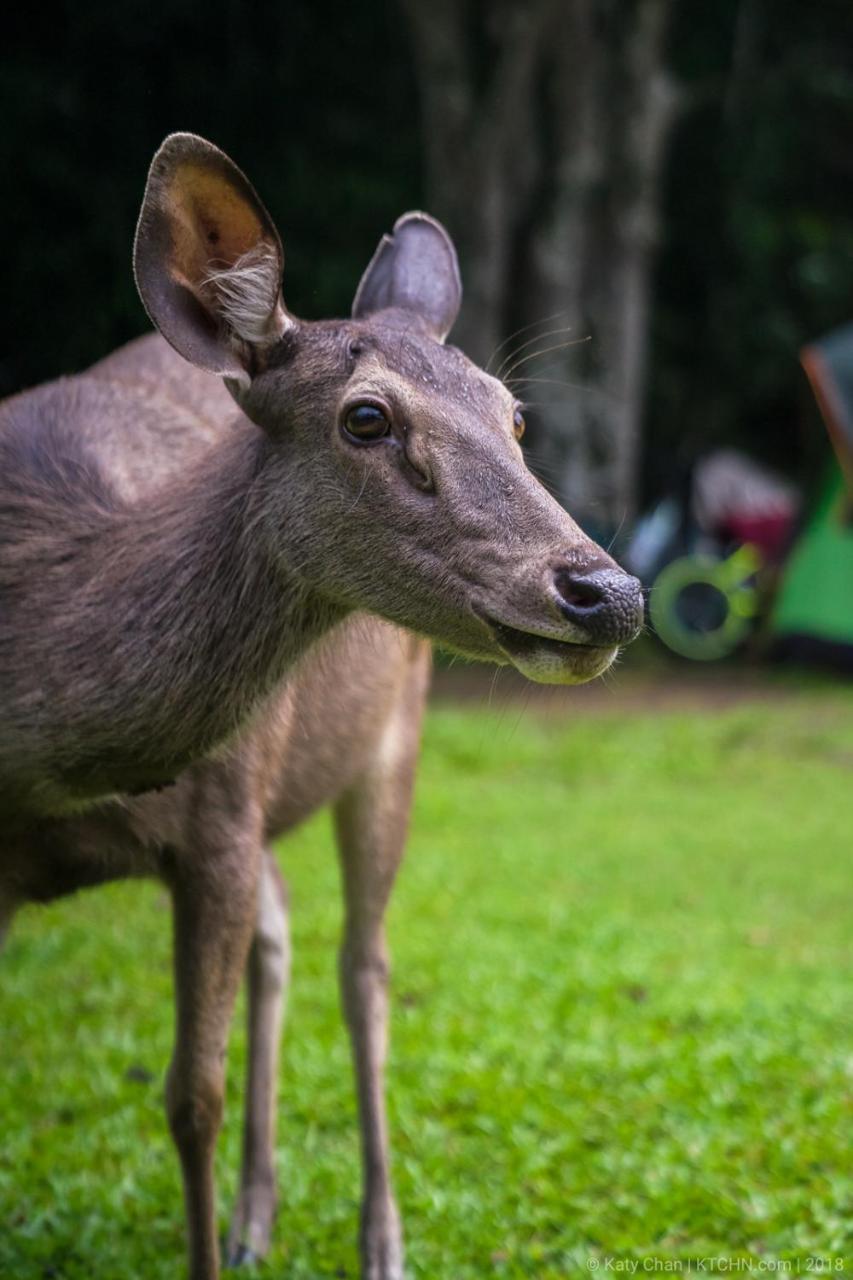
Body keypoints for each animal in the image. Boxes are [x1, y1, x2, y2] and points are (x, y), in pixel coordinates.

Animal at [0, 132, 637, 1280]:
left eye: (515, 415)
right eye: (366, 416)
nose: (607, 590)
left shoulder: (220, 812)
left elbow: (190, 1098)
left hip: (389, 741)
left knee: (364, 965)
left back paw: (378, 1236)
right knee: (285, 928)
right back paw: (257, 1215)